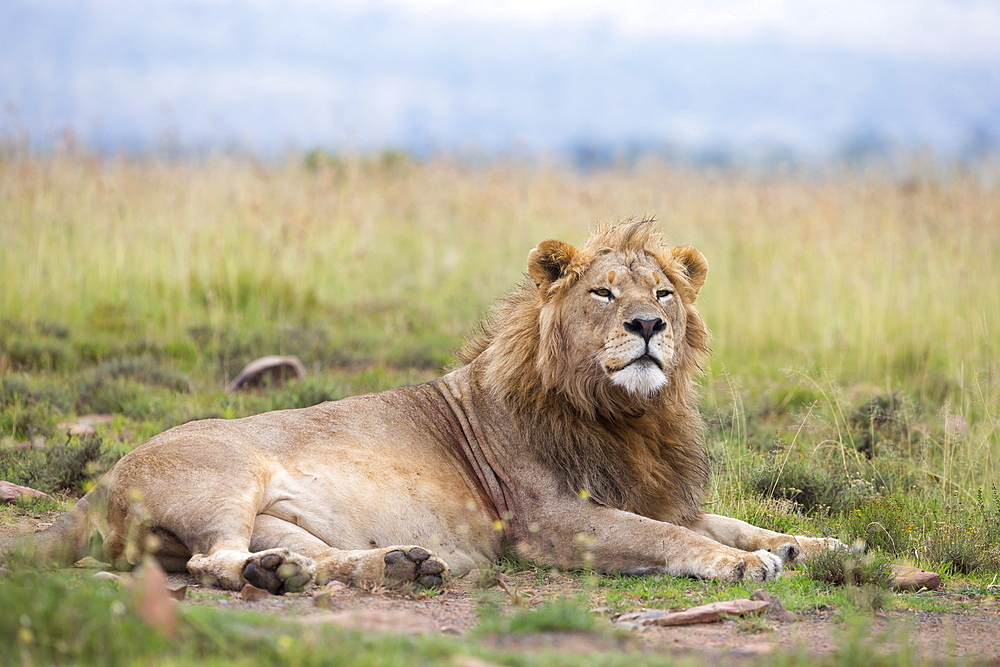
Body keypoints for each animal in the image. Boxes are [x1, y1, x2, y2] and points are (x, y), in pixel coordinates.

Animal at [3, 222, 840, 592]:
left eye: (663, 291)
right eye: (604, 292)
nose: (647, 327)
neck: (627, 414)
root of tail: (99, 483)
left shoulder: (655, 488)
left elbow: (727, 519)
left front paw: (817, 544)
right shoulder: (551, 521)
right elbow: (671, 537)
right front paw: (743, 562)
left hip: (278, 517)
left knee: (294, 556)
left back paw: (387, 563)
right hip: (224, 481)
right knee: (212, 563)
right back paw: (290, 574)